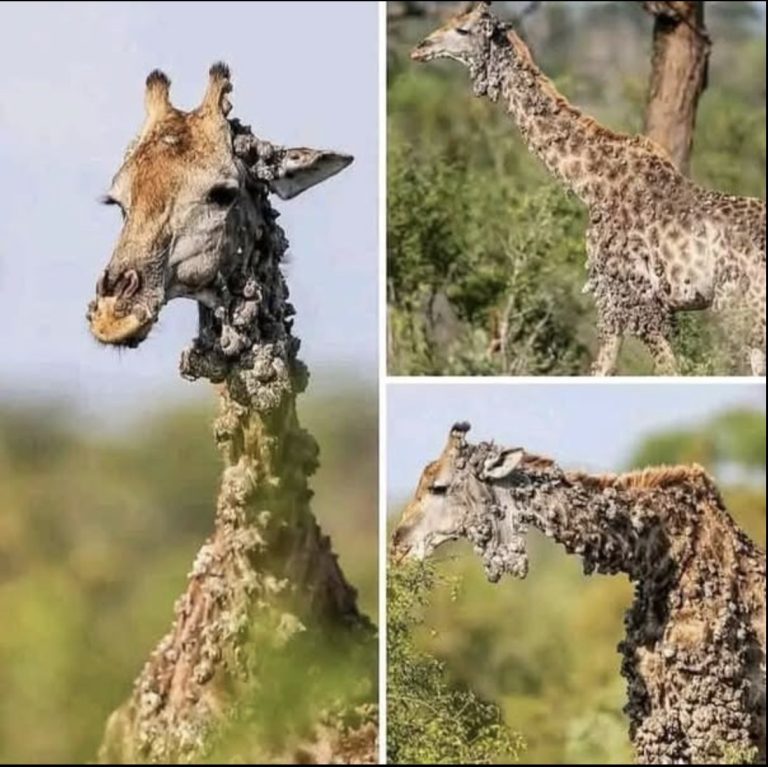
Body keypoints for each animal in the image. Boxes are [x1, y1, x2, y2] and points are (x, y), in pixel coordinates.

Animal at [410, 1, 767, 376]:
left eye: (463, 29)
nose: (420, 48)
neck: (593, 184)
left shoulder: (629, 296)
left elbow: (645, 368)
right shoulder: (628, 301)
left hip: (742, 310)